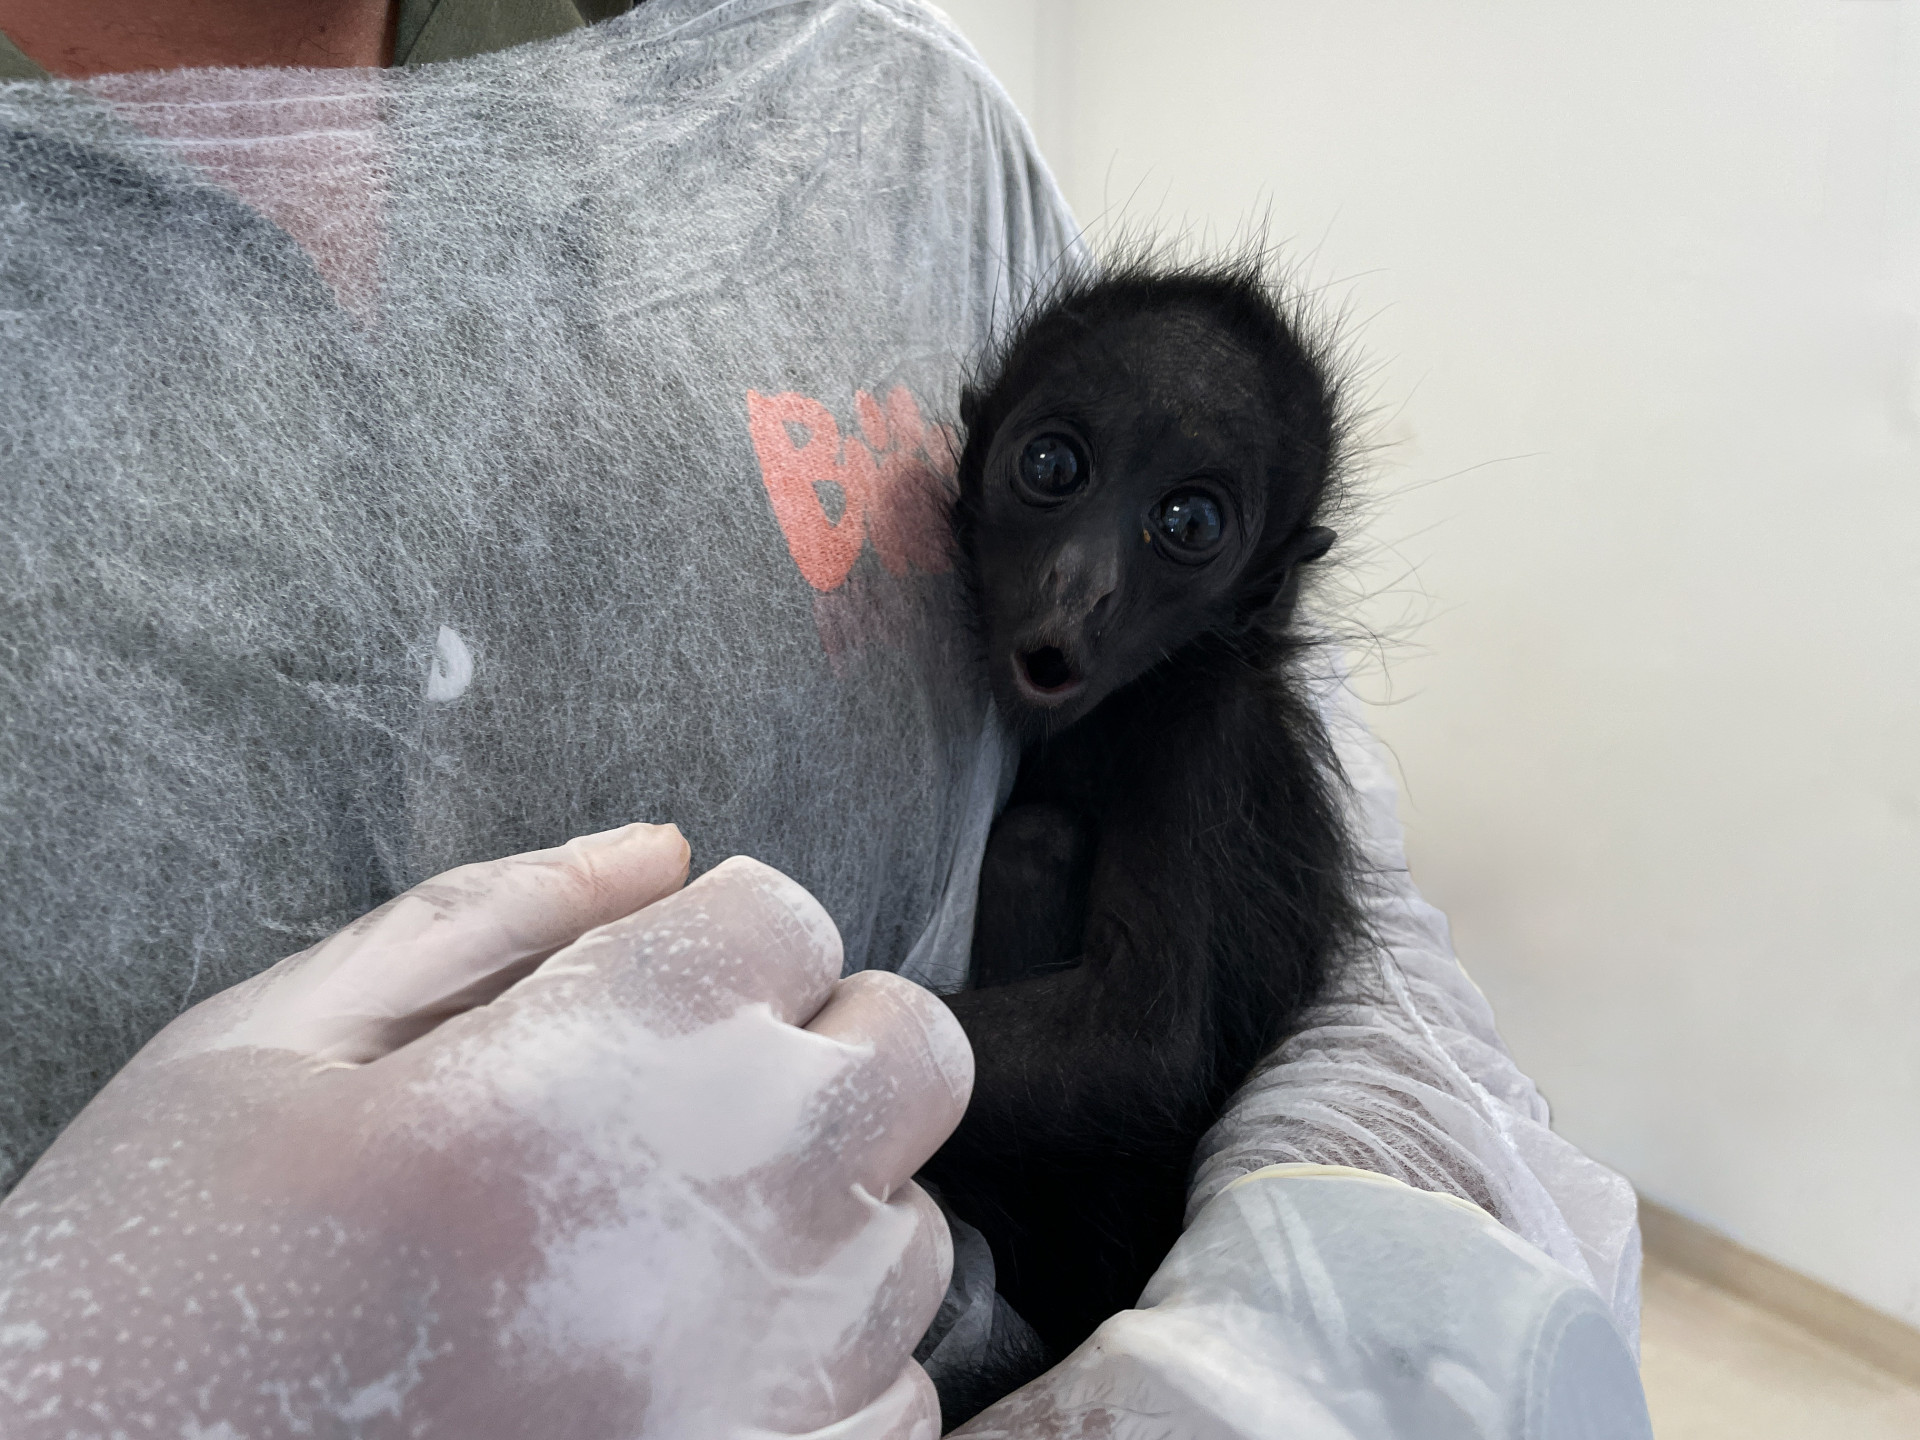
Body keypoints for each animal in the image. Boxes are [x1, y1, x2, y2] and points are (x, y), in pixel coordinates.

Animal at [918, 258, 1364, 1423]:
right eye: (1051, 466)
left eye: (1189, 522)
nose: (1081, 585)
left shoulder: (1204, 739)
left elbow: (1143, 1043)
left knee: (1034, 838)